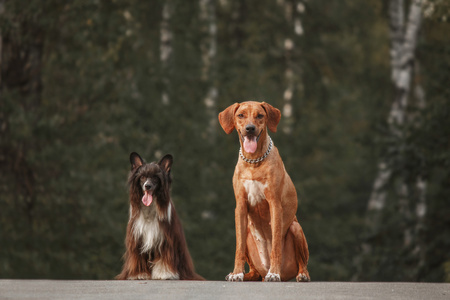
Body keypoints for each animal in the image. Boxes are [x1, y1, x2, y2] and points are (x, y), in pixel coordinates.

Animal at [218, 101, 310, 282]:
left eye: (260, 115)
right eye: (241, 115)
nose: (250, 128)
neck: (254, 161)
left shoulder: (274, 204)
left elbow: (275, 245)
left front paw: (274, 273)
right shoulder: (240, 206)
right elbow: (238, 247)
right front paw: (236, 272)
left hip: (296, 228)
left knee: (303, 264)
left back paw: (300, 274)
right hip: (249, 235)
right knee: (254, 273)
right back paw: (243, 274)